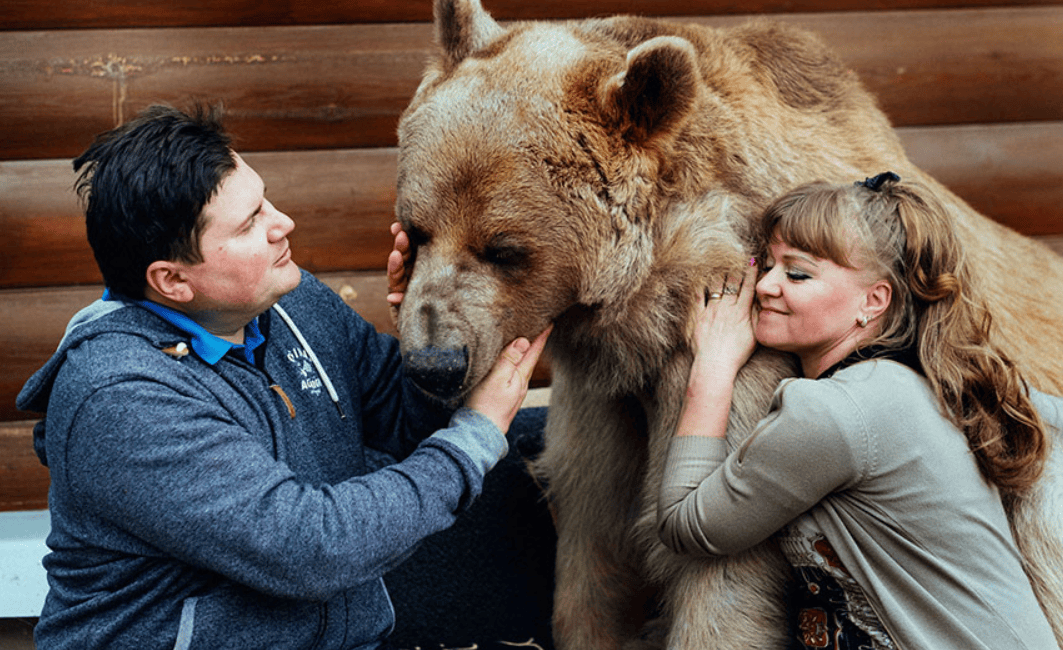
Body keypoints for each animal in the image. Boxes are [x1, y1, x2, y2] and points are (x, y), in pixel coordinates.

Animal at [393, 2, 1063, 646]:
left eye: (504, 249)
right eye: (416, 230)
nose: (434, 364)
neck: (645, 310)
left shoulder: (744, 362)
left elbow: (717, 563)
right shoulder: (602, 395)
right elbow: (594, 531)